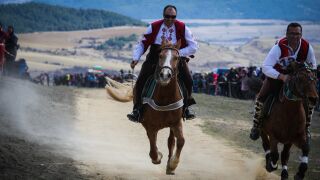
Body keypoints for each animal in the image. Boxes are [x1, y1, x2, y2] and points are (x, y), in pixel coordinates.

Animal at [142, 40, 185, 175]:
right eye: (160, 56)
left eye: (176, 58)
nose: (165, 75)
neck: (165, 98)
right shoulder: (150, 125)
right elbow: (152, 146)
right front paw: (157, 157)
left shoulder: (176, 123)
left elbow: (181, 141)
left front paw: (172, 165)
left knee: (171, 141)